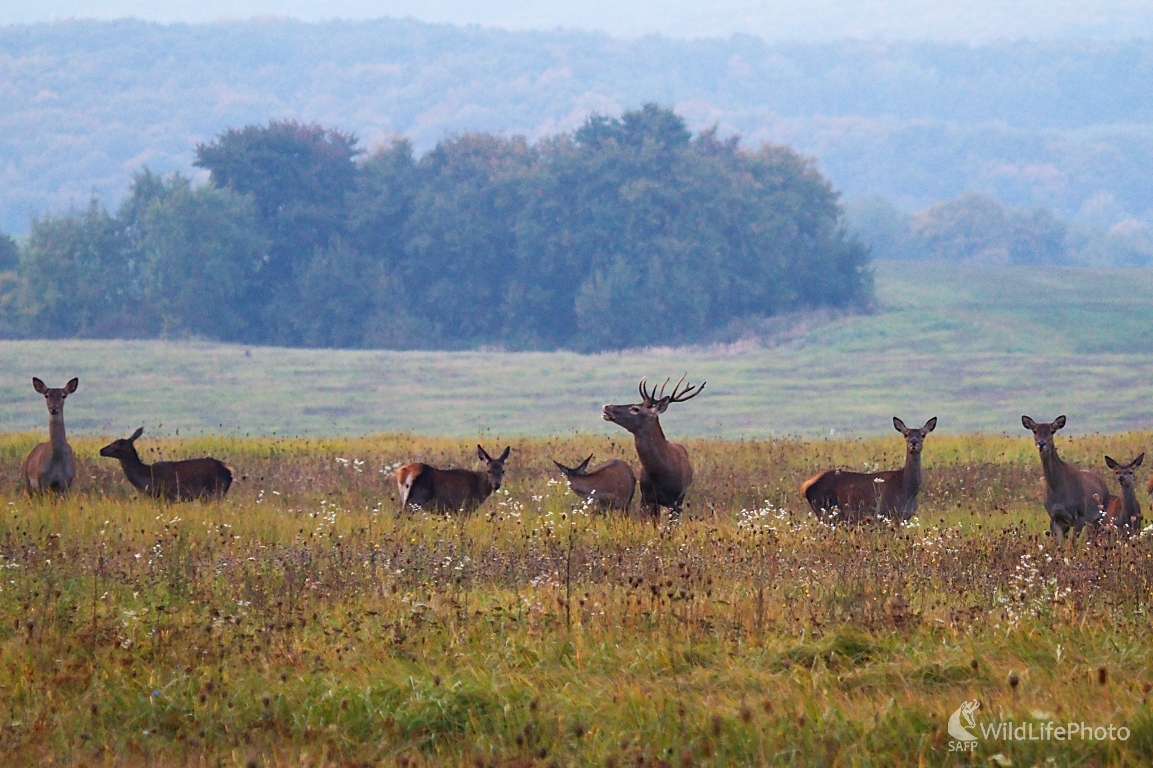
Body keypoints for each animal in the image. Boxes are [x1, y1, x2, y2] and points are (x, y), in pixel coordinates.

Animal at [100, 426, 232, 500]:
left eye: (118, 444)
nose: (101, 450)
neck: (145, 478)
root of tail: (229, 472)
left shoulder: (165, 495)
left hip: (216, 492)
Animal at [802, 415, 936, 523]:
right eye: (906, 434)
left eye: (923, 435)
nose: (914, 442)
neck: (908, 490)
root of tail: (804, 487)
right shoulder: (885, 513)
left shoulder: (904, 517)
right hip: (824, 509)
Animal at [1023, 412, 1111, 544]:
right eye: (1035, 431)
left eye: (1052, 431)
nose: (1041, 444)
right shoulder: (1054, 518)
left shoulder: (1080, 515)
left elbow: (1072, 545)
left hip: (1100, 514)